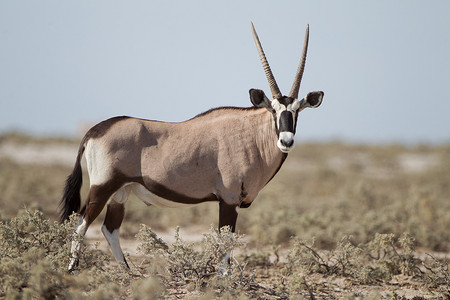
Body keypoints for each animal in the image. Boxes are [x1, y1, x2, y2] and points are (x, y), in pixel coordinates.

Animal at [59, 22, 324, 270]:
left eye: (296, 111)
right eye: (274, 111)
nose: (286, 141)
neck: (251, 135)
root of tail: (94, 131)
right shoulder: (229, 199)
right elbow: (225, 243)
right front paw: (224, 280)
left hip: (120, 193)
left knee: (109, 229)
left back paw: (128, 273)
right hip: (102, 188)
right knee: (80, 224)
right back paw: (72, 269)